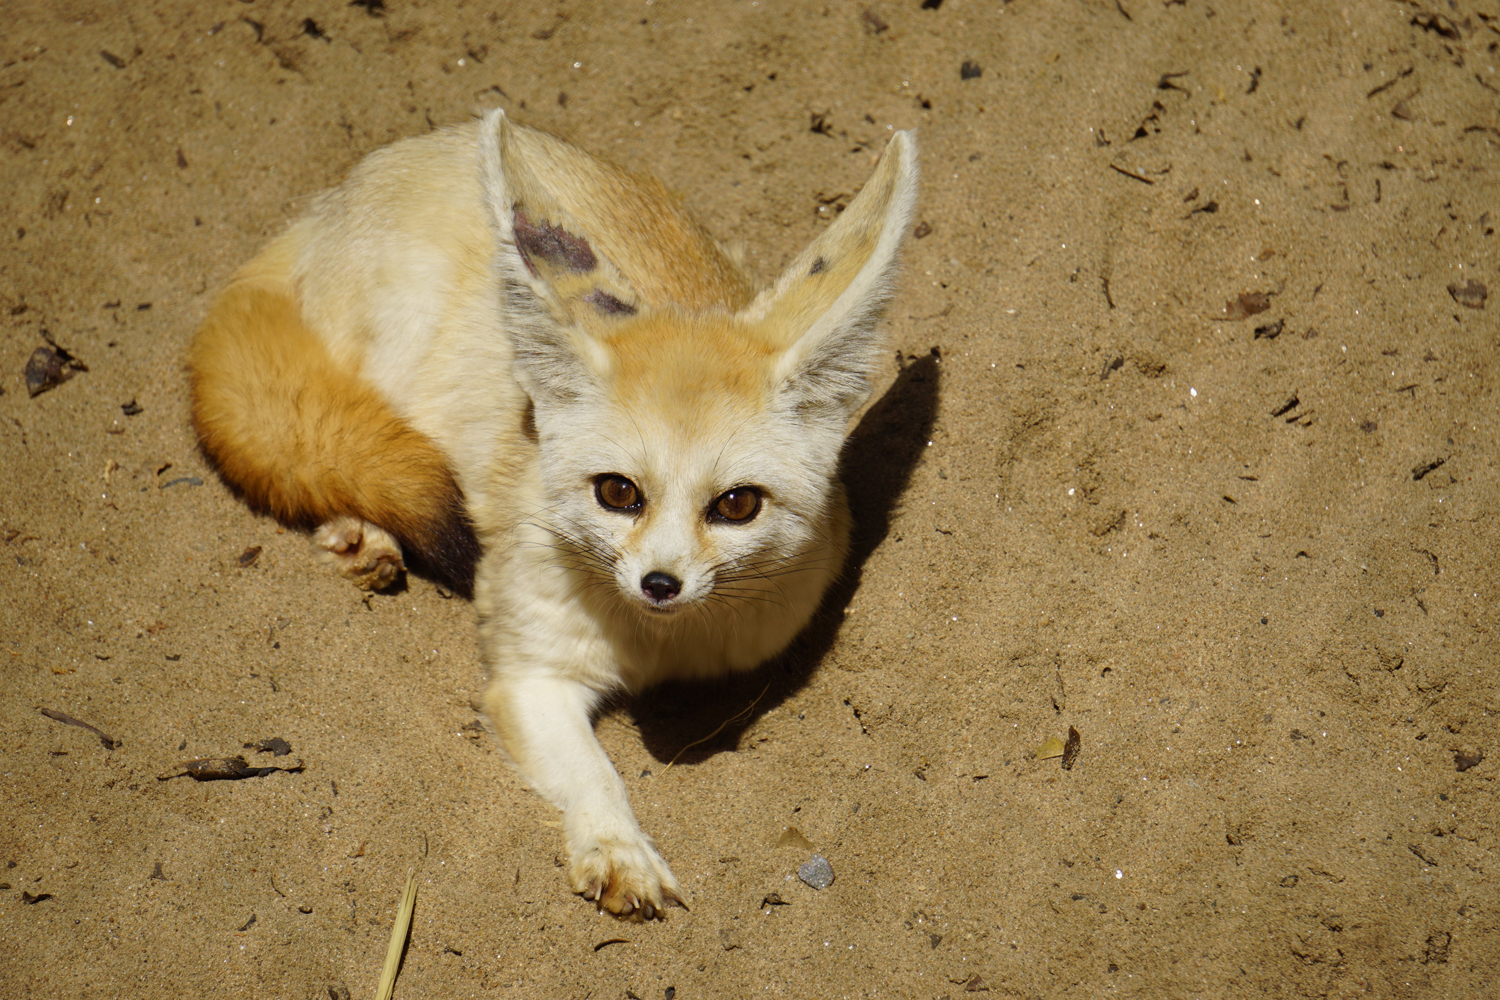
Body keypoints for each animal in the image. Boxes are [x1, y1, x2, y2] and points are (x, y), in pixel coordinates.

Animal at [189, 108, 918, 919]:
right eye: (618, 493)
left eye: (736, 505)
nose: (659, 584)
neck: (658, 648)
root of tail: (335, 197)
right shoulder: (530, 675)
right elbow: (594, 771)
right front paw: (617, 847)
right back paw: (357, 533)